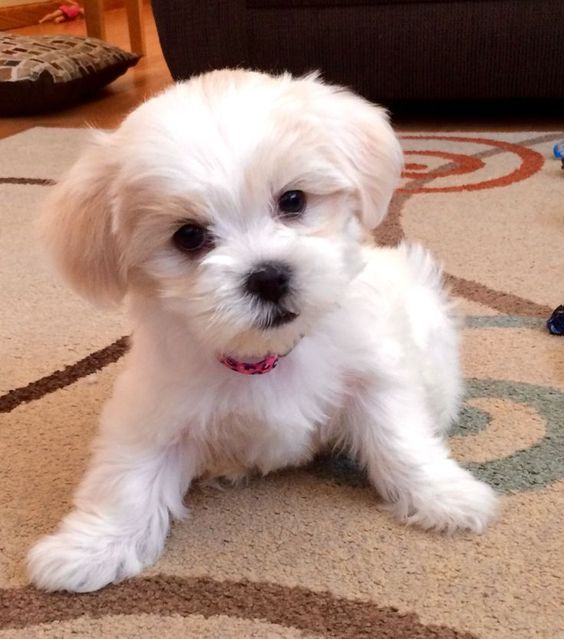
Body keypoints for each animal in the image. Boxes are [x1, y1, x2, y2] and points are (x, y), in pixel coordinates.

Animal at [28, 70, 498, 596]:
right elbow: (126, 479)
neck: (265, 354)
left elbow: (399, 436)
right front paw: (89, 549)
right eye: (188, 236)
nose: (269, 276)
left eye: (292, 200)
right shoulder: (152, 411)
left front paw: (445, 495)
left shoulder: (374, 374)